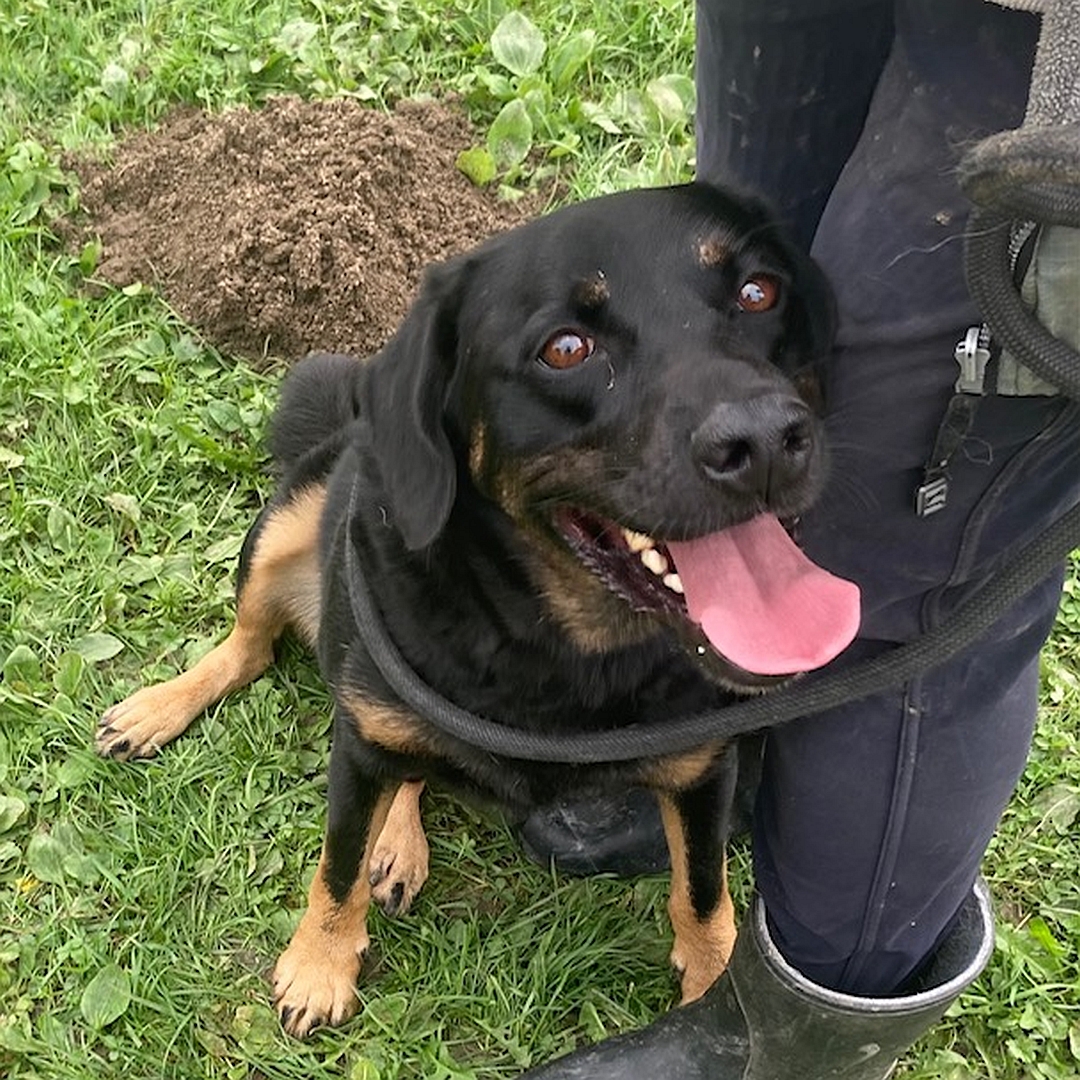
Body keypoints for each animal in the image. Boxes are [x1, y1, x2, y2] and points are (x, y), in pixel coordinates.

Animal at [99, 183, 859, 1036]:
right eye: (565, 348)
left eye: (759, 292)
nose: (764, 441)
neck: (556, 646)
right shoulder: (359, 741)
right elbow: (337, 863)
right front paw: (320, 965)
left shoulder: (702, 770)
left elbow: (701, 889)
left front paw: (714, 981)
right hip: (288, 527)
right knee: (251, 648)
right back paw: (160, 709)